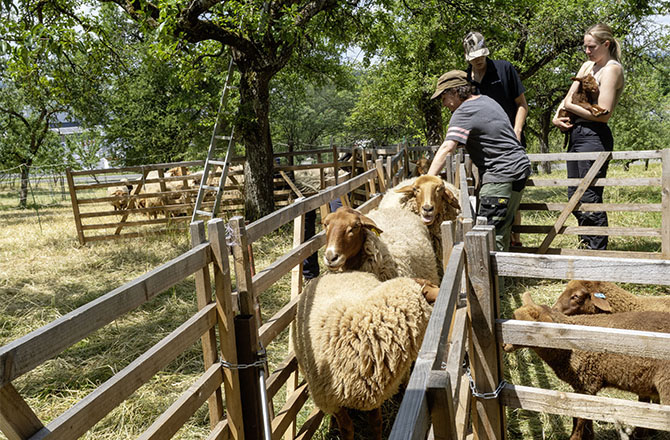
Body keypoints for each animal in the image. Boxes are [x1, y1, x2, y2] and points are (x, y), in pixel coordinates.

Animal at [293, 271, 439, 440]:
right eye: (430, 285)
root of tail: (336, 274)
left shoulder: (372, 392)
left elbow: (376, 423)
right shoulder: (331, 400)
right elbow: (347, 428)